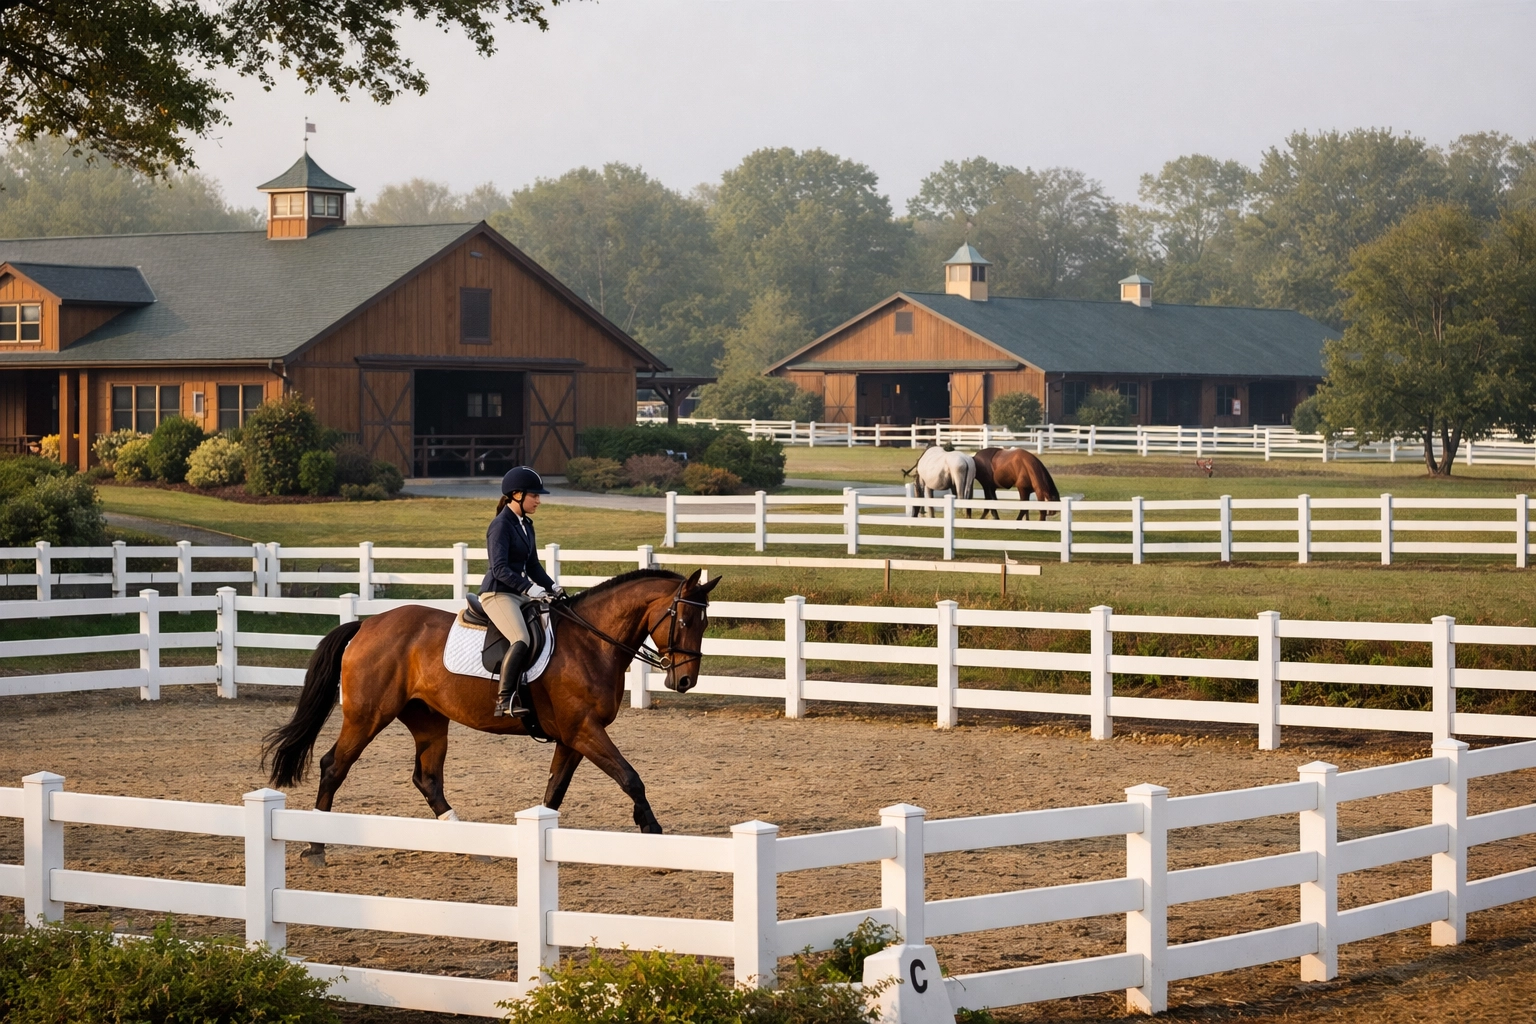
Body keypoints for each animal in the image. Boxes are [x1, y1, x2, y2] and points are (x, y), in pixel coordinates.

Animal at [262, 568, 720, 861]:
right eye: (683, 619)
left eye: (705, 621)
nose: (684, 681)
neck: (592, 643)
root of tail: (367, 624)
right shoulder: (584, 731)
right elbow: (630, 777)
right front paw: (652, 832)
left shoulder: (573, 737)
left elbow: (554, 791)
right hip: (368, 716)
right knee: (334, 765)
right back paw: (316, 846)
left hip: (428, 719)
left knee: (427, 778)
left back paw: (465, 840)